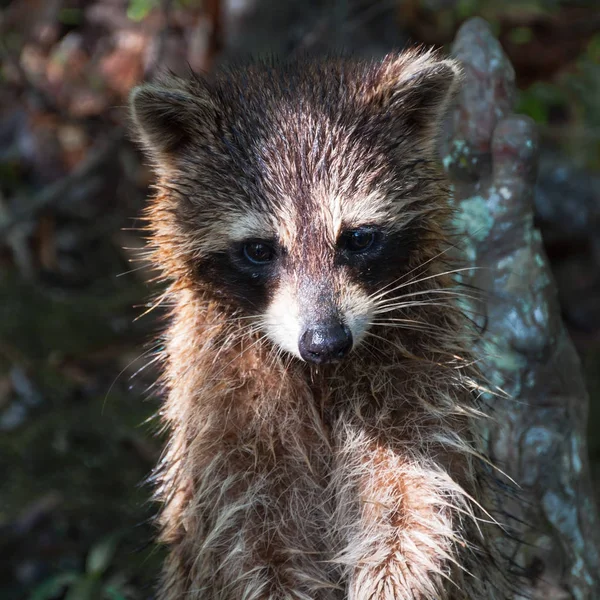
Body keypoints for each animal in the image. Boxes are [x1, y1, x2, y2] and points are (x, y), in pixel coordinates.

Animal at [130, 51, 506, 600]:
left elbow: (416, 502)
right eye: (259, 250)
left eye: (358, 238)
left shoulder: (425, 377)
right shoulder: (223, 417)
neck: (319, 377)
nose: (326, 342)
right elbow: (249, 538)